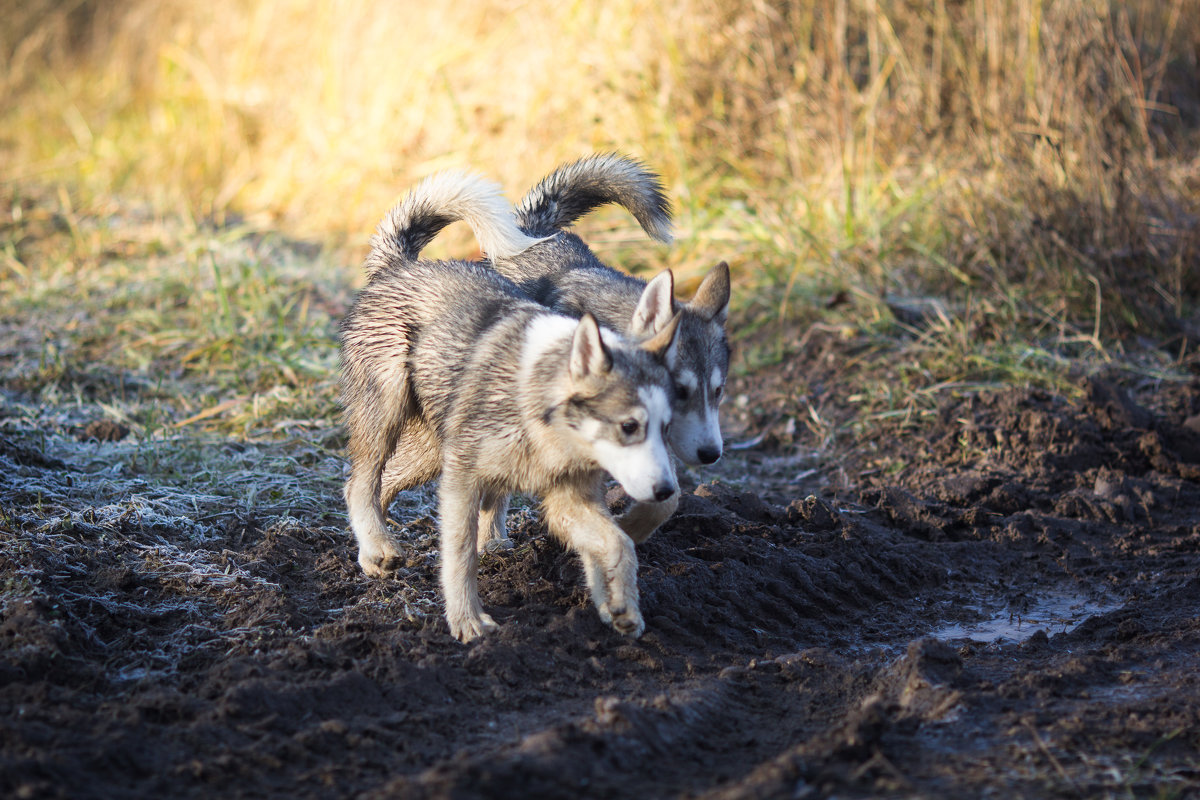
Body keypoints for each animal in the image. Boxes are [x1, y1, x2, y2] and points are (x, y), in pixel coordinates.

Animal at [343, 172, 681, 642]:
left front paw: (621, 609)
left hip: (433, 448)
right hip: (389, 407)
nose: (666, 489)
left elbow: (618, 543)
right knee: (359, 482)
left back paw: (374, 550)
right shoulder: (461, 483)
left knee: (383, 482)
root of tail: (400, 266)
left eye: (666, 427)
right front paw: (468, 622)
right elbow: (460, 556)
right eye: (629, 426)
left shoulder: (565, 499)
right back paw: (378, 548)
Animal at [494, 154, 729, 542]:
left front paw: (631, 528)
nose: (712, 454)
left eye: (718, 391)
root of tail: (535, 233)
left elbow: (668, 498)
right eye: (680, 391)